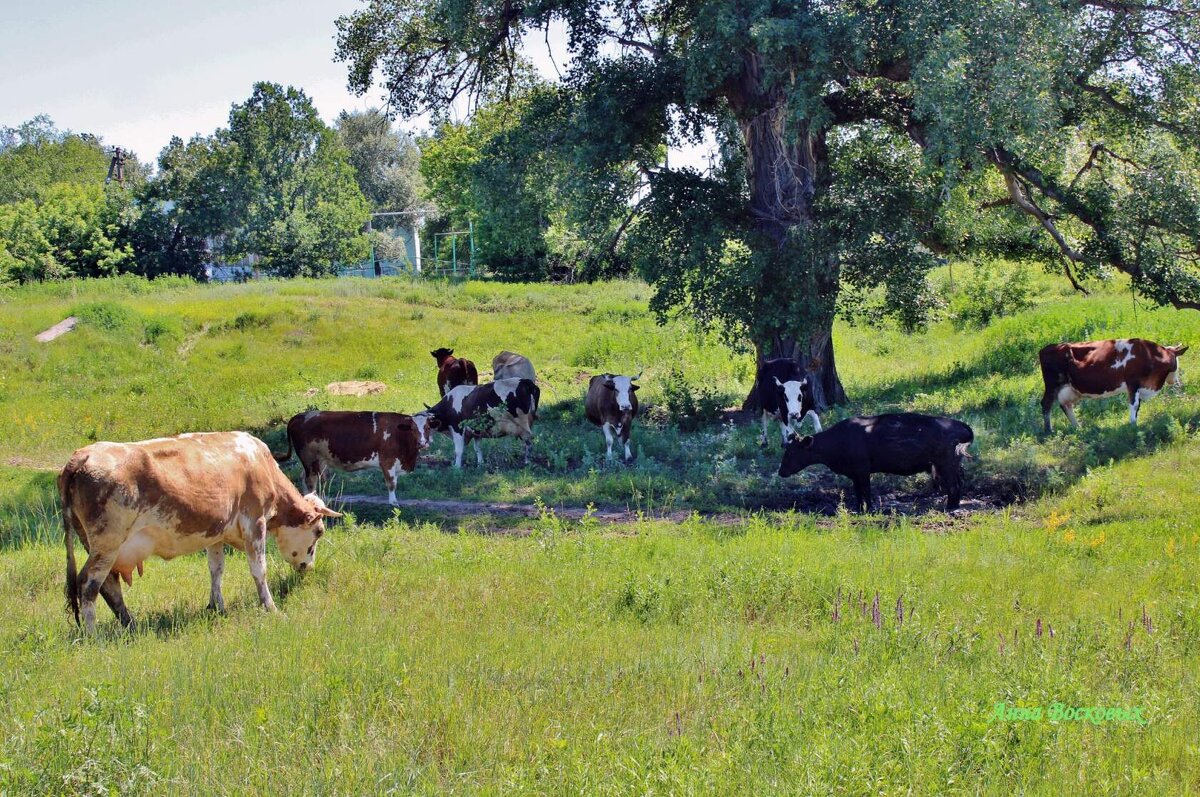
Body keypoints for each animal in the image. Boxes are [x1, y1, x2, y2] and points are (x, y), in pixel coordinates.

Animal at [62, 432, 343, 633]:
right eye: (319, 531)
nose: (308, 566)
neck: (260, 464)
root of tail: (83, 456)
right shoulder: (255, 523)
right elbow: (258, 570)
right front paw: (270, 607)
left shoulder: (215, 533)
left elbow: (216, 570)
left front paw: (216, 606)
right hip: (107, 544)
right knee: (89, 584)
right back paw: (93, 635)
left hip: (98, 545)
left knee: (109, 585)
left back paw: (130, 625)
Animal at [274, 410, 434, 504]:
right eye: (412, 429)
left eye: (427, 428)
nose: (422, 443)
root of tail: (299, 416)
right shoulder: (387, 461)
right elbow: (391, 483)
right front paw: (393, 503)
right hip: (309, 458)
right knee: (310, 481)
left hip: (316, 460)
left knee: (306, 478)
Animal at [777, 412, 974, 513]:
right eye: (786, 450)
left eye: (792, 451)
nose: (781, 472)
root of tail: (963, 426)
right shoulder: (854, 474)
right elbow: (858, 493)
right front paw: (858, 509)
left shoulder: (862, 470)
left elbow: (866, 491)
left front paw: (869, 509)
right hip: (950, 464)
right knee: (959, 482)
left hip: (946, 463)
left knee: (954, 485)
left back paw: (950, 507)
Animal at [1036, 338, 1185, 436]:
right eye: (1178, 361)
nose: (1176, 380)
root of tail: (1045, 349)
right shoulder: (1133, 383)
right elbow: (1134, 405)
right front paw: (1133, 425)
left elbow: (1138, 406)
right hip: (1052, 384)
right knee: (1046, 404)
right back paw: (1048, 431)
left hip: (1070, 388)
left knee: (1065, 405)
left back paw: (1078, 428)